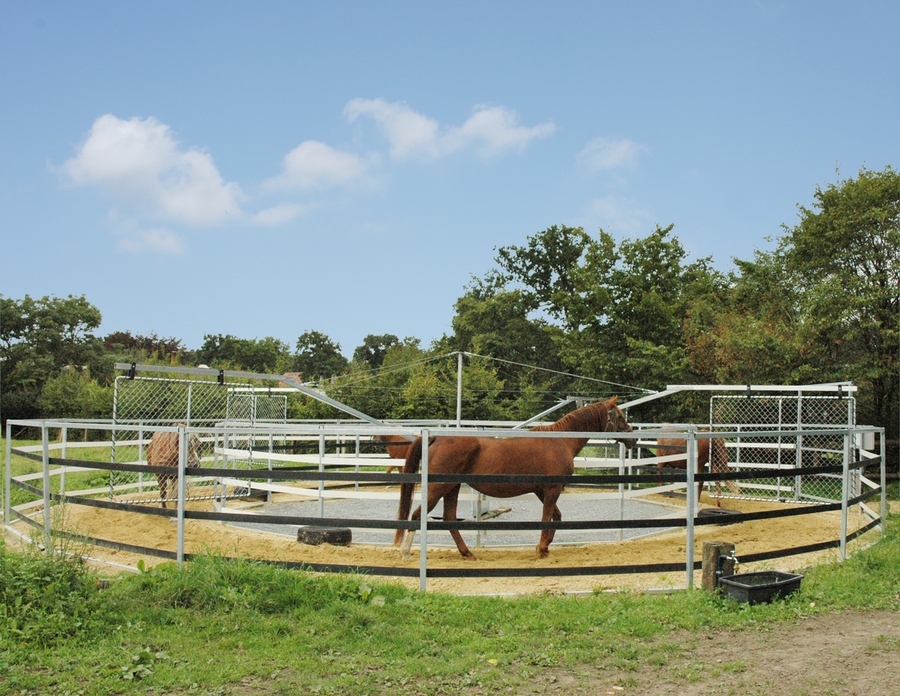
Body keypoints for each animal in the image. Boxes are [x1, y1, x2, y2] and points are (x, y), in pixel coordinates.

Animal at [394, 396, 635, 560]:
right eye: (619, 416)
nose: (632, 439)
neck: (560, 441)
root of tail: (435, 438)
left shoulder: (542, 491)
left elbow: (556, 516)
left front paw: (544, 545)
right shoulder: (552, 490)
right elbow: (547, 517)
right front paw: (542, 549)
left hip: (451, 488)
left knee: (450, 519)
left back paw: (468, 553)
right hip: (438, 487)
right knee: (417, 515)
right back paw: (406, 552)